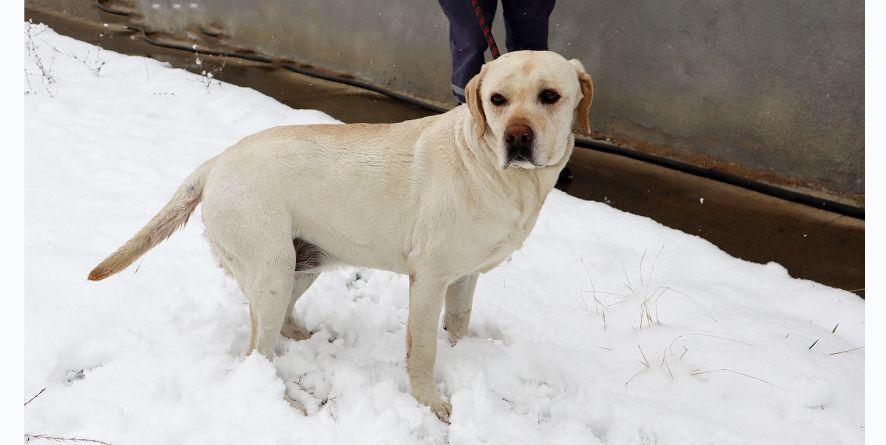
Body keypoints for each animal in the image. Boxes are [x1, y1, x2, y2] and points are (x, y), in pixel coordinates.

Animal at [88, 50, 596, 422]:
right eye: (497, 100)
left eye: (550, 96)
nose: (516, 137)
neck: (495, 170)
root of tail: (215, 163)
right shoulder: (429, 278)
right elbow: (423, 350)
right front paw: (431, 404)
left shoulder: (465, 275)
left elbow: (459, 323)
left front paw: (467, 359)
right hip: (271, 269)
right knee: (257, 352)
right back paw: (281, 404)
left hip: (303, 262)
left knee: (280, 323)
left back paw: (300, 334)